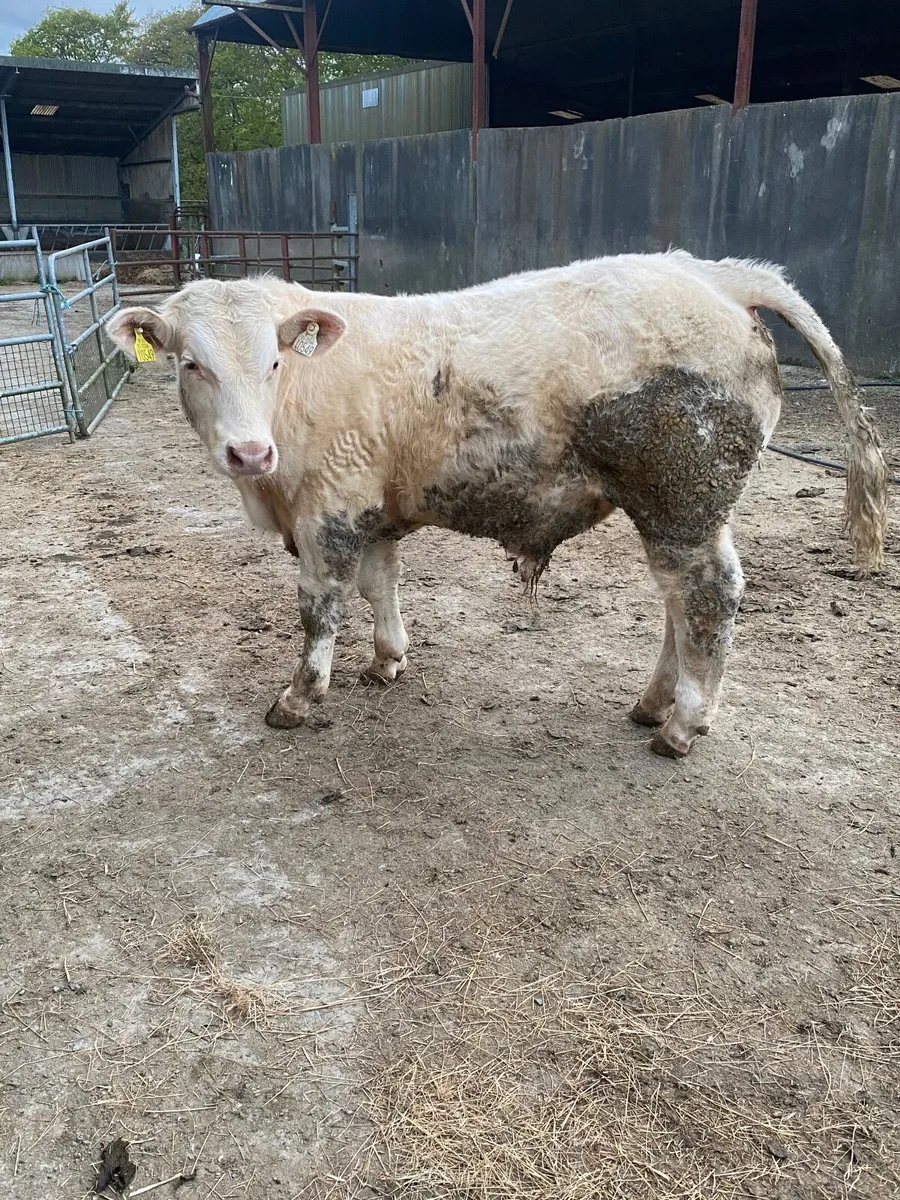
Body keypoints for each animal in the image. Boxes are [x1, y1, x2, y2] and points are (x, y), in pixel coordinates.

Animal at [108, 252, 887, 758]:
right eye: (190, 364)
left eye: (274, 361)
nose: (248, 453)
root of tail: (714, 273)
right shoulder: (373, 504)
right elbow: (381, 584)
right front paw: (387, 660)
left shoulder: (328, 511)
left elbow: (320, 608)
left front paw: (298, 698)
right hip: (674, 511)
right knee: (678, 602)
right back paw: (652, 705)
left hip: (682, 501)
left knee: (710, 596)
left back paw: (682, 726)